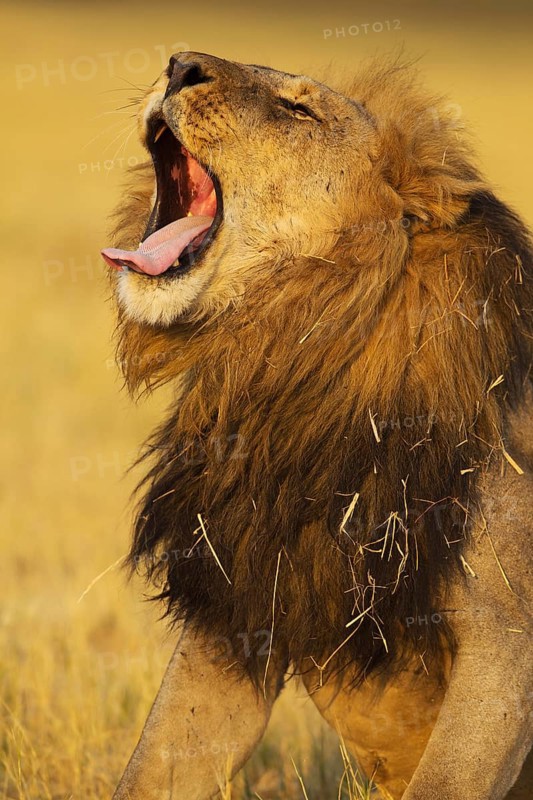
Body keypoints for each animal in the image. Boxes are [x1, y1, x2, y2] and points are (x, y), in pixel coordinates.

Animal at [101, 53, 533, 799]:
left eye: (299, 110)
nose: (179, 64)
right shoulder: (236, 610)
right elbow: (152, 768)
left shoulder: (505, 641)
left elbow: (444, 781)